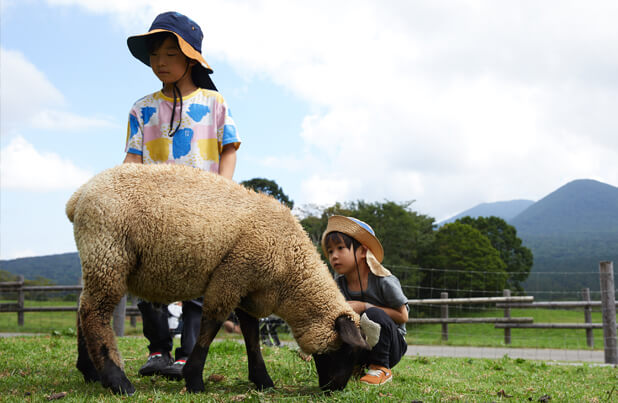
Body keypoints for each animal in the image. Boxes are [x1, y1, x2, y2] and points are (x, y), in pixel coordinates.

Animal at [65, 163, 368, 394]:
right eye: (347, 350)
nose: (336, 390)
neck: (290, 272)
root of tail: (79, 196)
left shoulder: (249, 290)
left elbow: (251, 336)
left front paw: (263, 381)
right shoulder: (232, 275)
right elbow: (211, 327)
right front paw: (194, 380)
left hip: (97, 258)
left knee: (82, 309)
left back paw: (91, 372)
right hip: (108, 252)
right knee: (94, 313)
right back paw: (118, 382)